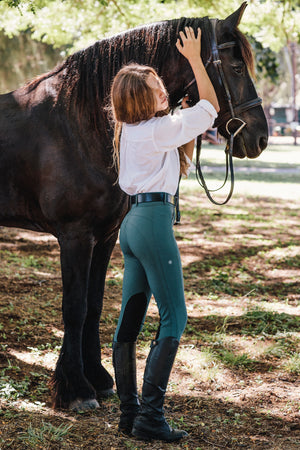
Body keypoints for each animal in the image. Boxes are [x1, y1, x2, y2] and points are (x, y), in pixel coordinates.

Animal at [0, 2, 268, 412]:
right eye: (237, 67)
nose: (261, 137)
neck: (79, 124)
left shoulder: (105, 236)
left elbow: (94, 305)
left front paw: (97, 378)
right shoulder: (75, 236)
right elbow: (74, 307)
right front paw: (75, 389)